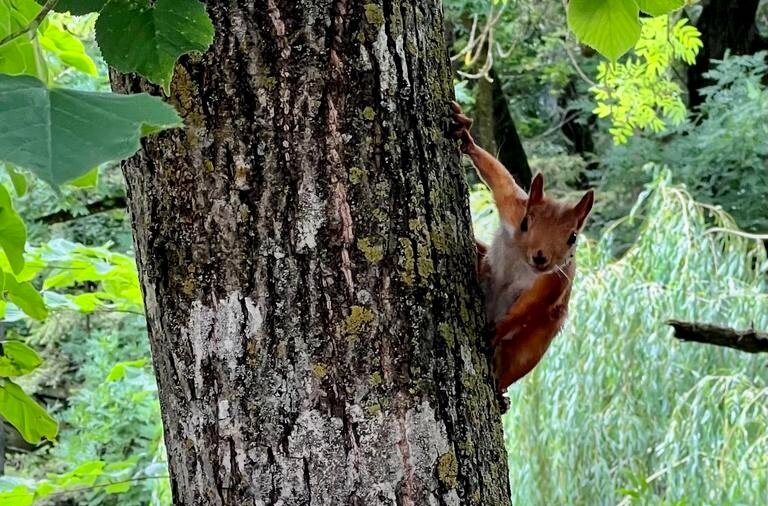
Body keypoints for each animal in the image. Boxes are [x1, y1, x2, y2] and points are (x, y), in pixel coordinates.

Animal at [450, 100, 592, 392]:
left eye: (573, 237)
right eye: (526, 222)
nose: (541, 257)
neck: (521, 259)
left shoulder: (555, 283)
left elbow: (528, 310)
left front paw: (496, 332)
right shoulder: (513, 208)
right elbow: (499, 177)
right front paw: (465, 135)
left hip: (529, 349)